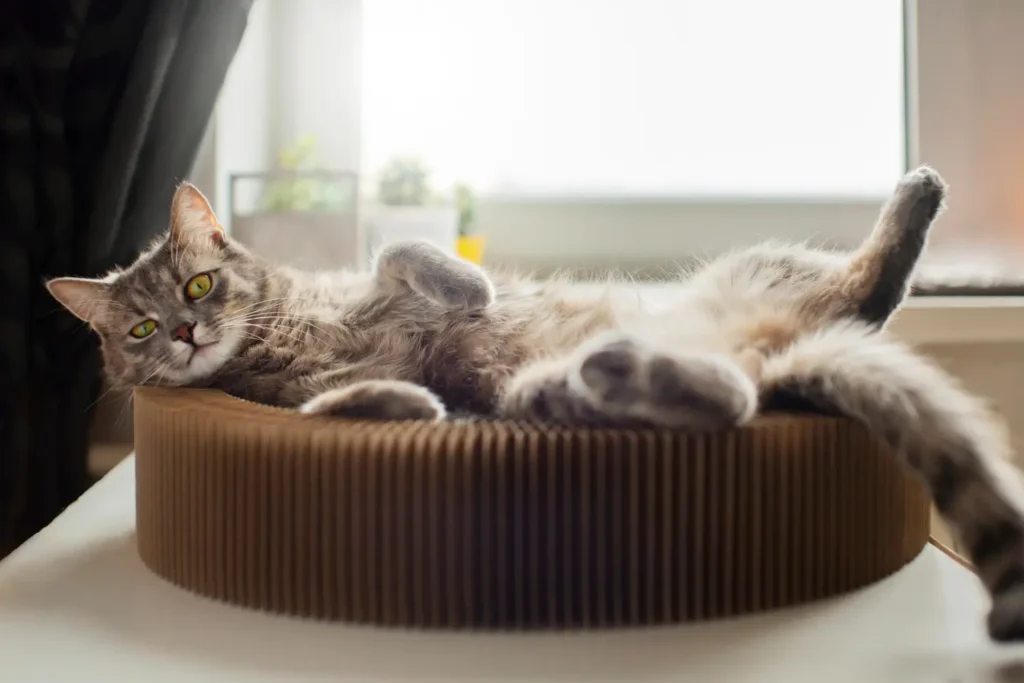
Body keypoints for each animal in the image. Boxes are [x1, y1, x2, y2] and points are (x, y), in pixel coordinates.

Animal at [49, 165, 1024, 643]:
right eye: (139, 330)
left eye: (200, 284)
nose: (183, 333)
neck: (285, 330)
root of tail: (775, 353)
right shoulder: (288, 401)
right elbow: (342, 403)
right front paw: (408, 398)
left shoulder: (366, 277)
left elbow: (404, 248)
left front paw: (468, 284)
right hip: (580, 379)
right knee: (744, 393)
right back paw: (625, 373)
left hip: (770, 263)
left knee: (869, 287)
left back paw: (918, 193)